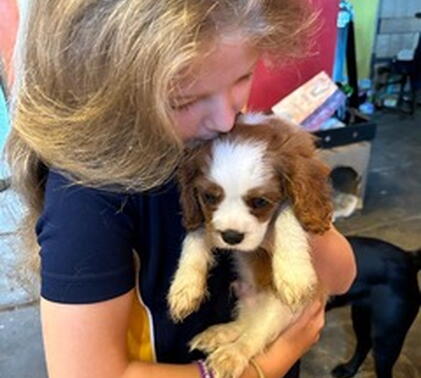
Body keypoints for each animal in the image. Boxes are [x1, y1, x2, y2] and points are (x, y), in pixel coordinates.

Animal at [167, 113, 332, 378]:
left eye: (260, 202)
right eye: (209, 197)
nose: (232, 237)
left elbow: (288, 212)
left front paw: (294, 273)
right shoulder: (203, 216)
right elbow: (196, 232)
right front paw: (184, 286)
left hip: (283, 310)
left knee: (255, 335)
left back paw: (230, 355)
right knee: (245, 324)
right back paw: (219, 334)